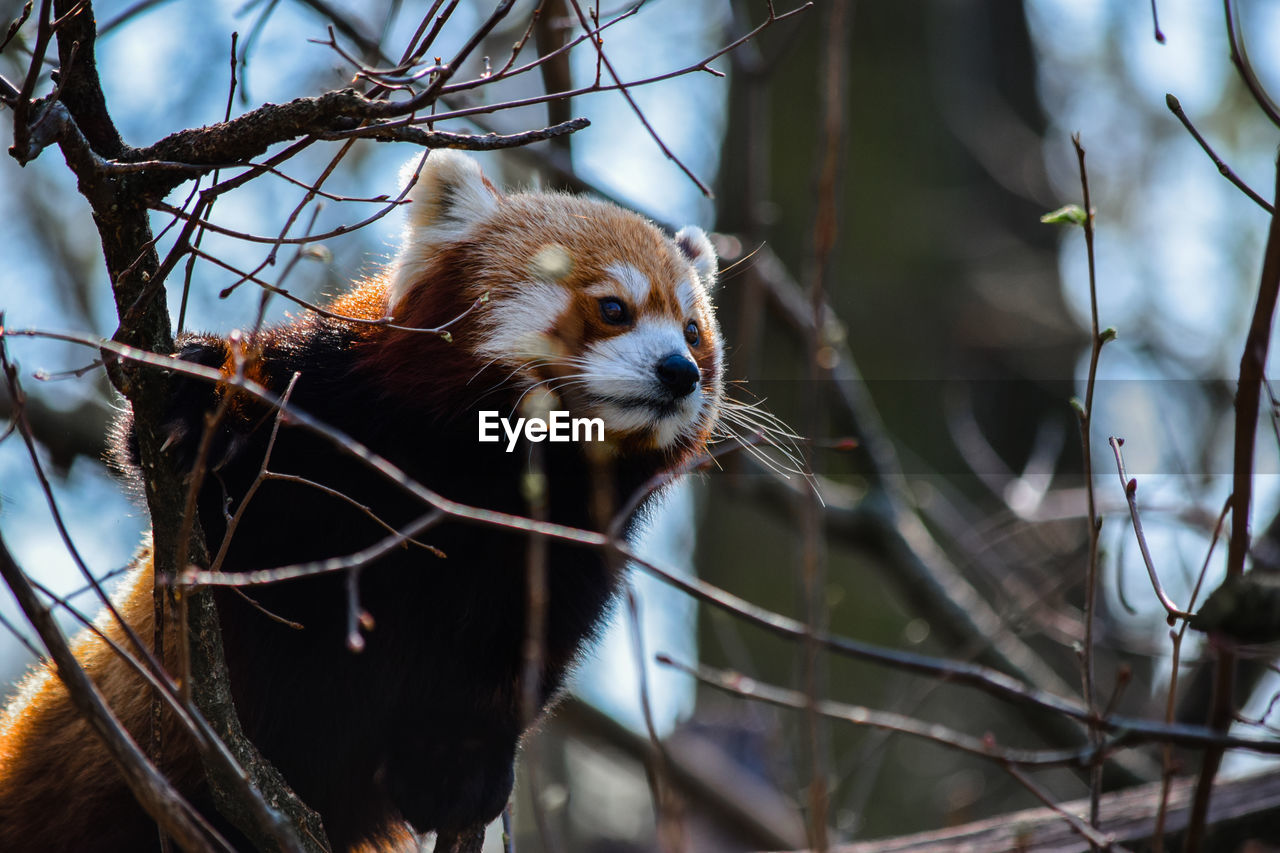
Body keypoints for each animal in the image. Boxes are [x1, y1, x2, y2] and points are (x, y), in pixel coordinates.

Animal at [0, 153, 721, 850]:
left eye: (693, 331)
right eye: (614, 309)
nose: (680, 372)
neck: (486, 475)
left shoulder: (566, 552)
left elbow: (517, 660)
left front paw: (458, 764)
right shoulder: (326, 424)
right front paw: (199, 402)